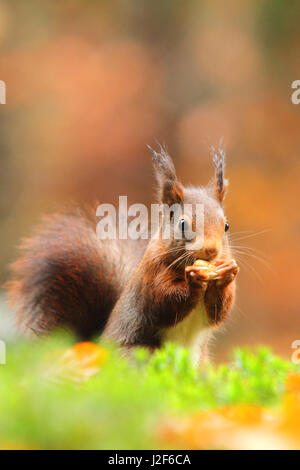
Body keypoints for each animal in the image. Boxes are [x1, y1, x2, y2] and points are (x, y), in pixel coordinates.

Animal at [5, 146, 239, 364]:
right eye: (183, 224)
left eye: (226, 225)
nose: (211, 250)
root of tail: (99, 346)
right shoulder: (151, 277)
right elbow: (164, 303)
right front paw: (194, 281)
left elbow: (219, 312)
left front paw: (226, 275)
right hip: (140, 354)